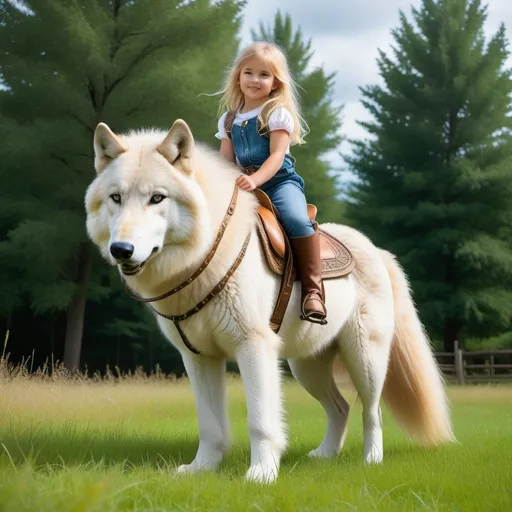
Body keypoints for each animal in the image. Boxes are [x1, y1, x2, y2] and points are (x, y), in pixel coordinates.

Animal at [85, 118, 456, 482]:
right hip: (306, 367)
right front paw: (201, 470)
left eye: (157, 198)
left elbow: (260, 421)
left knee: (371, 410)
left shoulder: (254, 348)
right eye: (116, 197)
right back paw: (323, 457)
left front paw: (262, 474)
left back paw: (371, 461)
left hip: (365, 360)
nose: (121, 250)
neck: (207, 255)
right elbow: (210, 425)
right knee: (341, 408)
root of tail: (376, 249)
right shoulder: (199, 358)